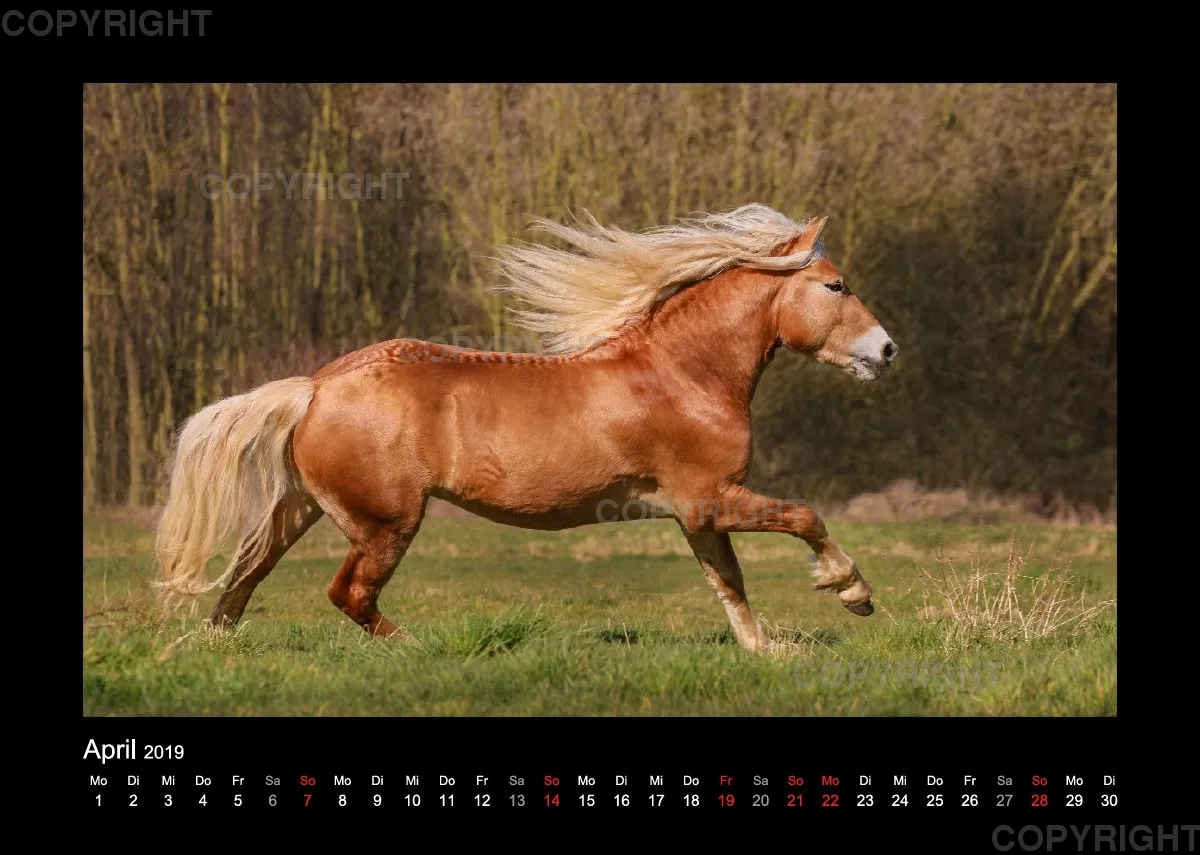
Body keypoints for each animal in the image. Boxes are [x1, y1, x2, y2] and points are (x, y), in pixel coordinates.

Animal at [154, 203, 897, 652]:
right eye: (835, 285)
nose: (886, 350)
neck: (683, 374)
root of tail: (316, 386)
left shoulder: (696, 513)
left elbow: (730, 584)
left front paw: (767, 649)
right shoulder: (711, 497)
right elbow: (804, 516)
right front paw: (851, 592)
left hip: (301, 507)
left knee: (243, 576)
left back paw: (208, 647)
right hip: (387, 521)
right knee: (348, 593)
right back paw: (418, 648)